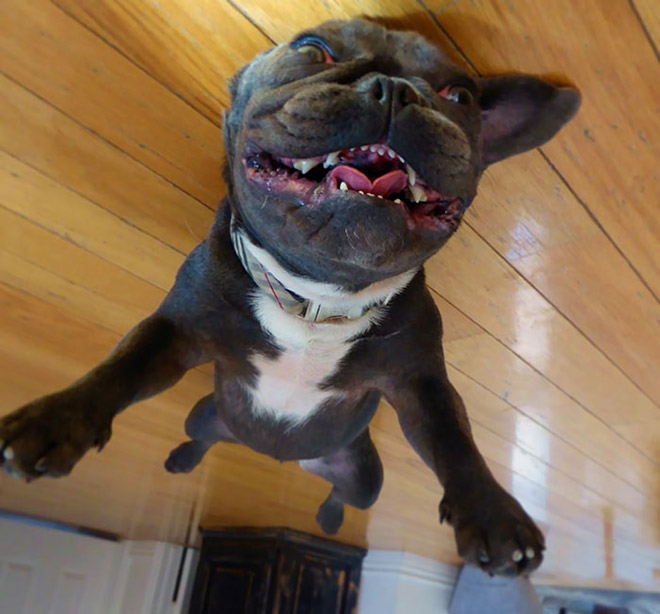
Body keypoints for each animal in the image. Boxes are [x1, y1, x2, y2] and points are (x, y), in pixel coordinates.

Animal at [0, 18, 576, 576]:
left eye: (460, 95)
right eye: (313, 49)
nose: (394, 88)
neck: (317, 297)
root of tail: (281, 457)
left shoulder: (420, 382)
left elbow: (454, 438)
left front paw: (494, 514)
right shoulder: (178, 331)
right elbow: (123, 366)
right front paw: (56, 418)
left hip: (366, 476)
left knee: (344, 493)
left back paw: (327, 516)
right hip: (205, 414)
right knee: (204, 436)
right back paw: (183, 460)